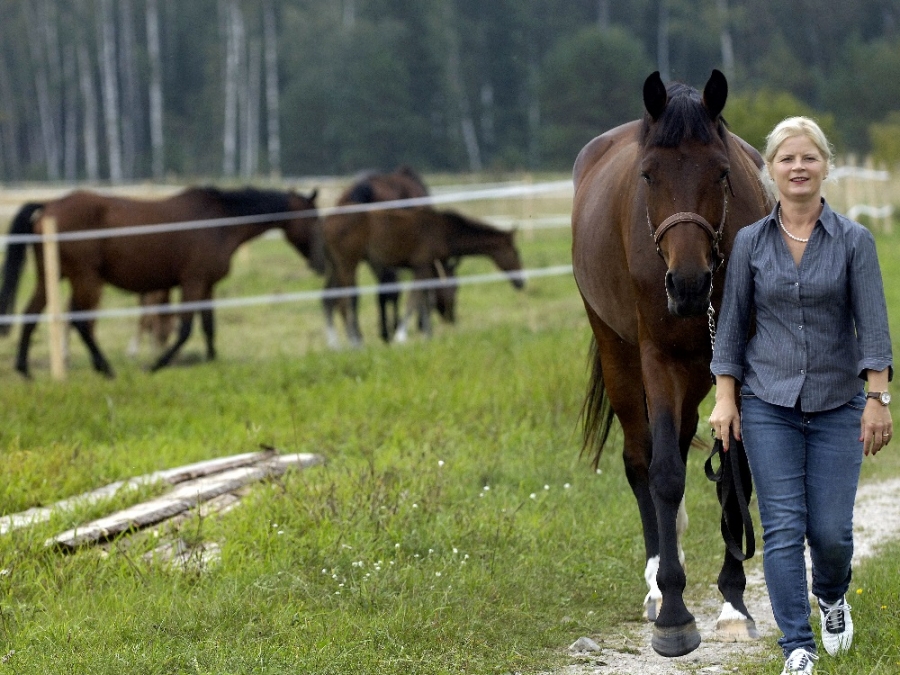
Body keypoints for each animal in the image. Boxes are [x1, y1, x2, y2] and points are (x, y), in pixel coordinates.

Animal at [0, 186, 320, 374]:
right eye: (314, 219)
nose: (320, 262)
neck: (220, 222)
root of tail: (48, 205)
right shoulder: (192, 283)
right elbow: (186, 328)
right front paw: (158, 364)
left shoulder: (207, 286)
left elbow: (209, 326)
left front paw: (211, 359)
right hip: (86, 280)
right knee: (79, 321)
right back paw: (105, 367)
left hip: (51, 277)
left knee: (32, 314)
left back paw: (24, 369)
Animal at [322, 205, 520, 348]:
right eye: (516, 253)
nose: (521, 282)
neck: (445, 230)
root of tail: (327, 221)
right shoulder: (422, 266)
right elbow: (415, 298)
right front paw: (401, 336)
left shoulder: (428, 268)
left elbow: (425, 299)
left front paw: (427, 334)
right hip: (348, 264)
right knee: (344, 301)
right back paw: (355, 342)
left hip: (336, 267)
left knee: (328, 298)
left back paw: (334, 343)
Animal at [572, 71, 768, 656]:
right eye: (648, 175)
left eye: (722, 172)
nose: (687, 285)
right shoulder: (658, 360)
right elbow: (661, 475)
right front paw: (675, 613)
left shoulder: (731, 366)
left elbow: (734, 476)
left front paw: (733, 604)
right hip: (619, 354)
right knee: (642, 460)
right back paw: (658, 583)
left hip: (696, 375)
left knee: (680, 450)